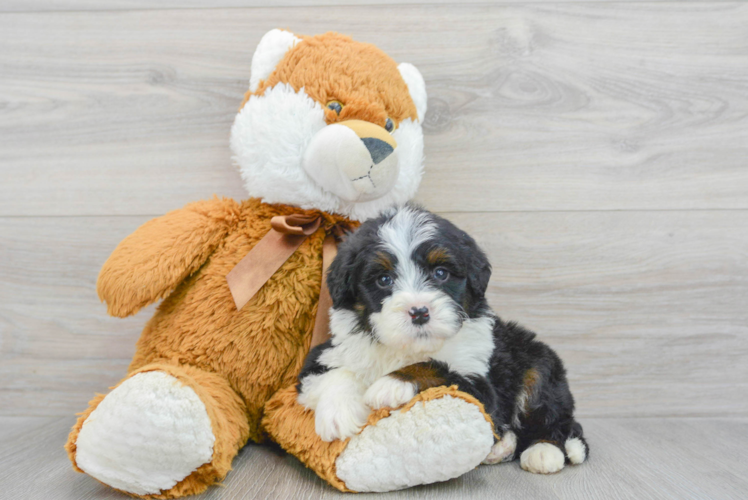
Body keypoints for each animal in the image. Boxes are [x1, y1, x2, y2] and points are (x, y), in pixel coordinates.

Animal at [298, 205, 592, 474]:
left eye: (440, 273)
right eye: (383, 279)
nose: (419, 312)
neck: (408, 348)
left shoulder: (480, 385)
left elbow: (437, 366)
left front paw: (392, 383)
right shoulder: (325, 354)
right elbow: (335, 373)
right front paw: (338, 414)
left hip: (539, 367)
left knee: (554, 417)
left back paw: (544, 451)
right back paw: (501, 448)